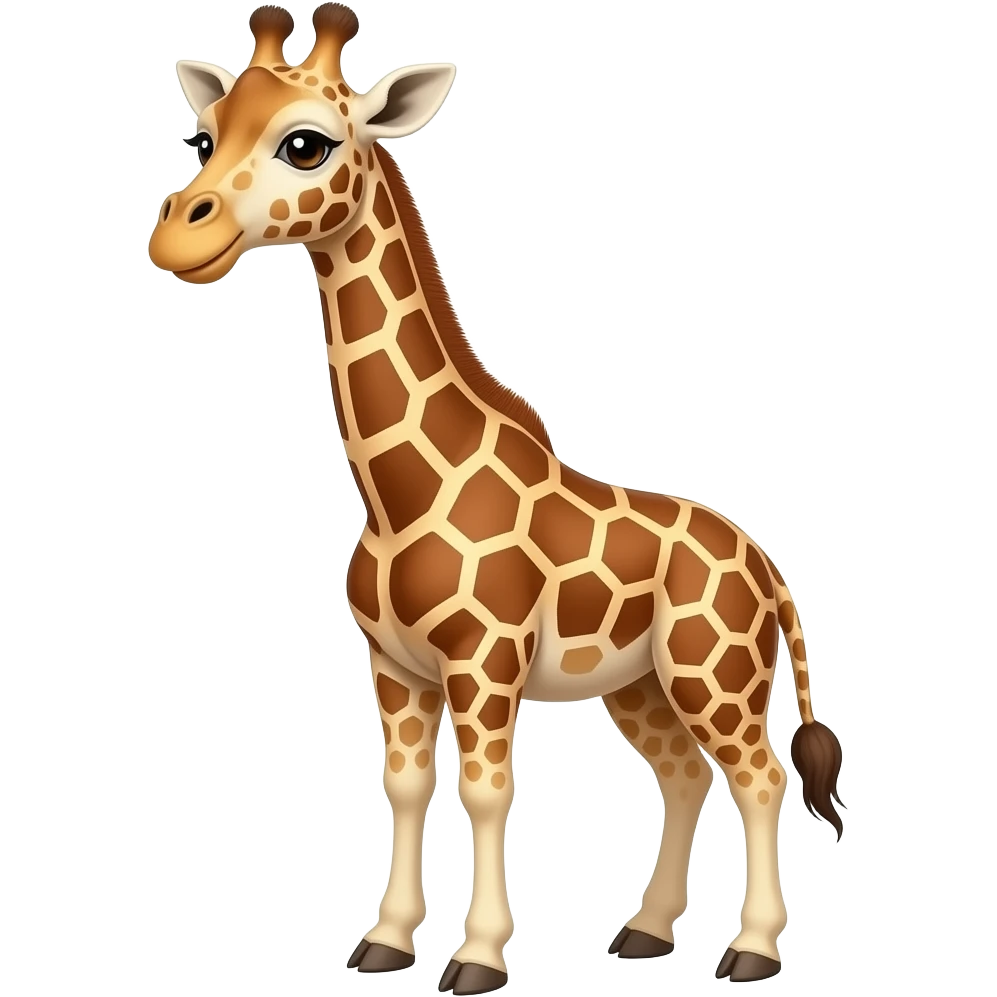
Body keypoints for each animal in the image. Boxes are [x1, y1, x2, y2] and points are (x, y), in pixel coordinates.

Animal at [148, 4, 846, 992]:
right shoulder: (394, 667)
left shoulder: (484, 663)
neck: (398, 493)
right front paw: (385, 940)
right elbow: (406, 786)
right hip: (640, 684)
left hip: (718, 673)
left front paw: (476, 957)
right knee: (682, 774)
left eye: (306, 143)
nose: (177, 236)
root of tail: (765, 565)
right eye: (206, 136)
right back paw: (645, 931)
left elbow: (486, 792)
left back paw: (750, 949)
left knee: (759, 776)